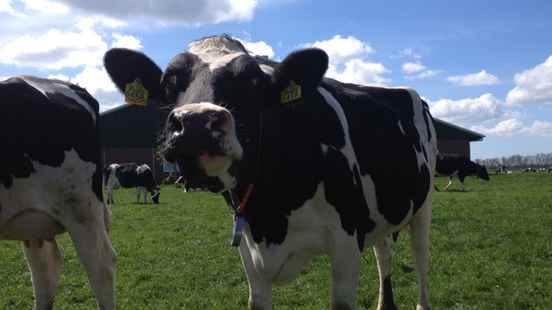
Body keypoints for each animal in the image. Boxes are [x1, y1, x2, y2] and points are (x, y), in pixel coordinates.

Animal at [104, 34, 440, 310]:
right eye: (169, 82)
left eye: (253, 83)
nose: (196, 122)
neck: (272, 208)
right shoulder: (250, 253)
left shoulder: (346, 242)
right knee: (384, 255)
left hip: (422, 207)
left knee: (422, 263)